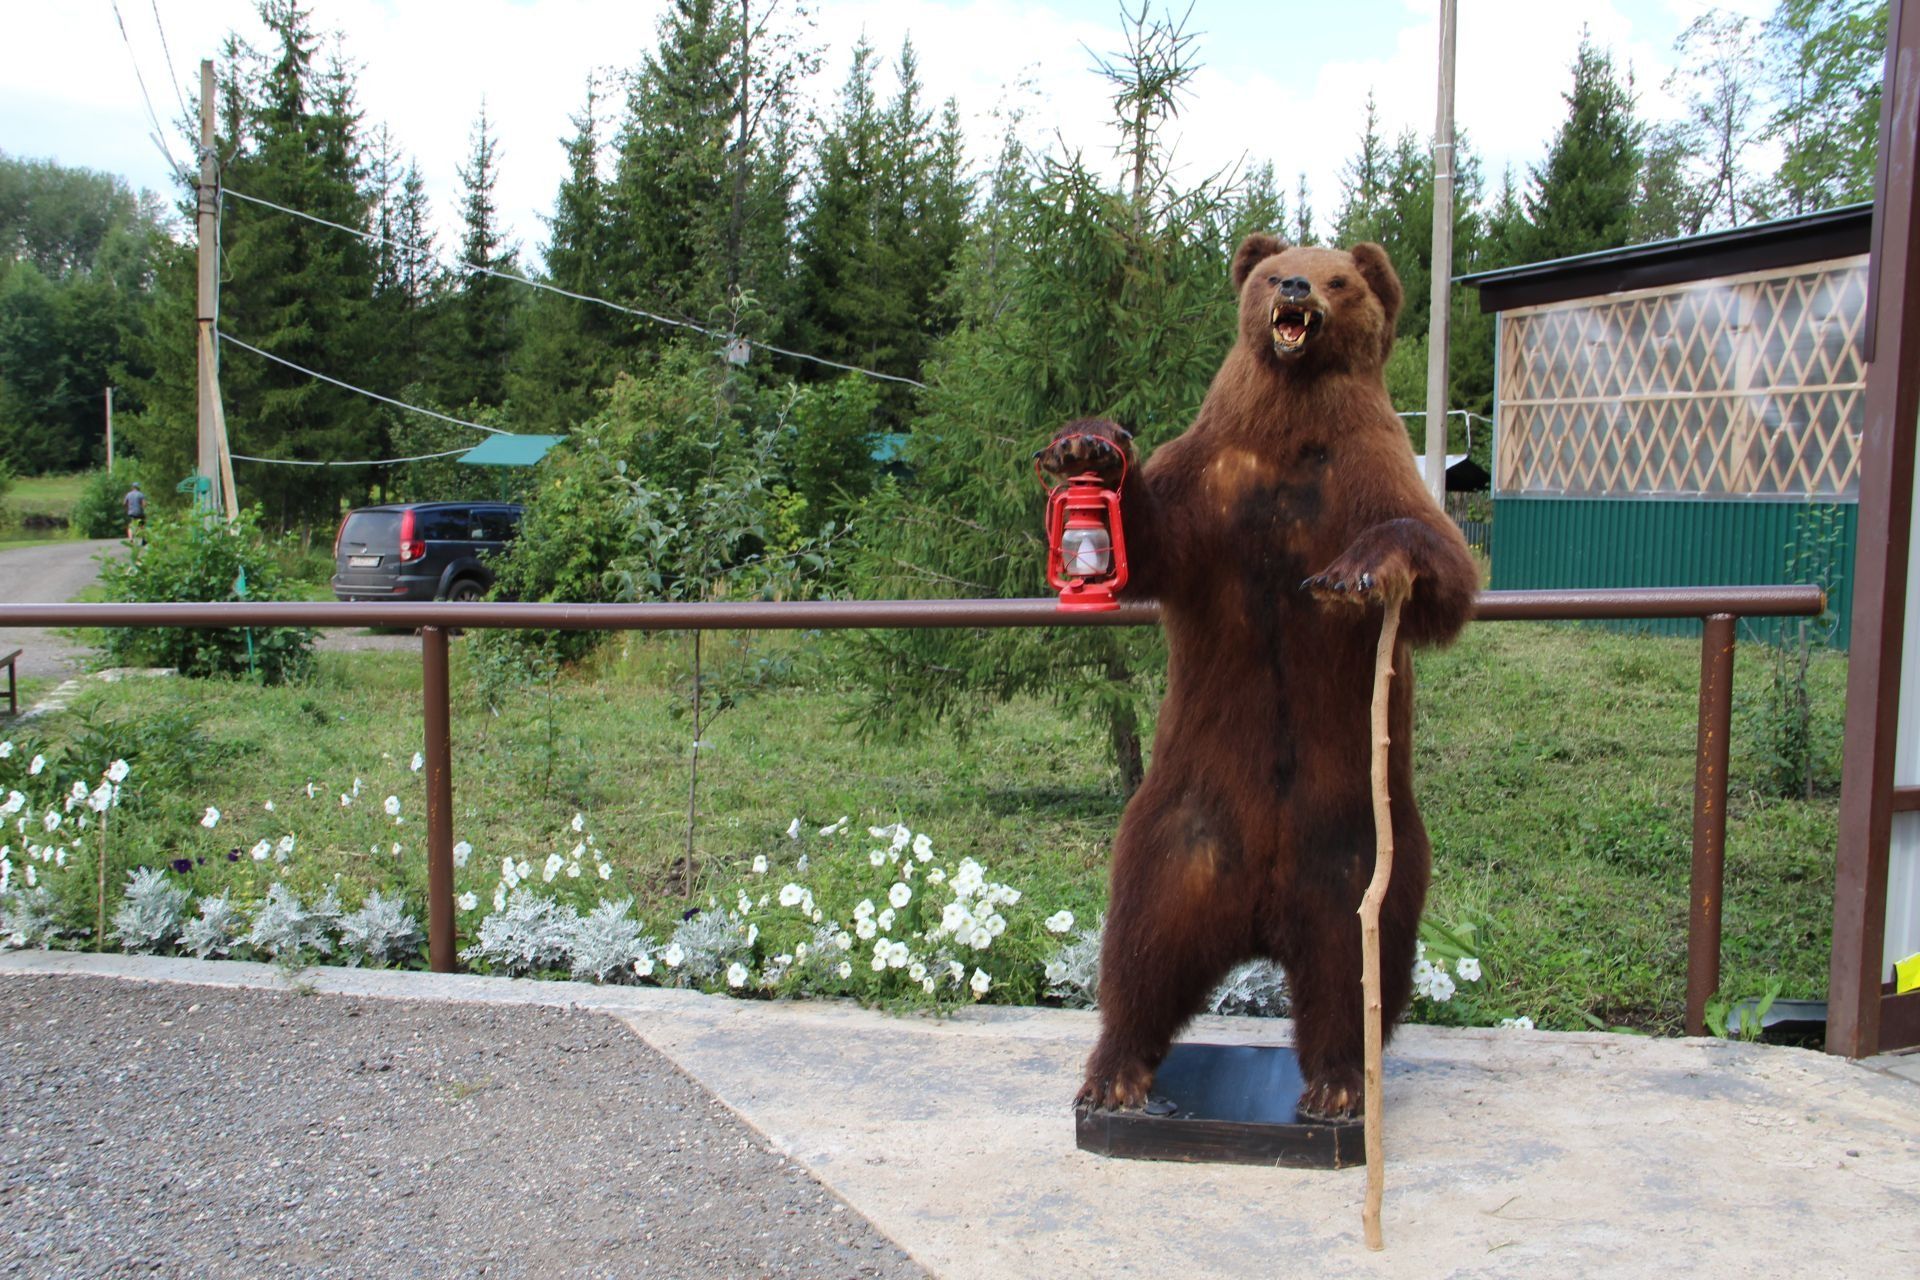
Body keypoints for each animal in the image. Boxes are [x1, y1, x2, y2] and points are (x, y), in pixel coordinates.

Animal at [1044, 235, 1474, 1113]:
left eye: (1341, 277)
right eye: (1277, 272)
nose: (1300, 286)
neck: (1290, 432)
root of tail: (1260, 917)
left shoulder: (1369, 471)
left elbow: (1441, 567)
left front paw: (1361, 572)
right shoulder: (1215, 484)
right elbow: (1156, 536)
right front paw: (1087, 447)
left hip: (1358, 851)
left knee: (1354, 970)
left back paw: (1337, 1085)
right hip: (1179, 835)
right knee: (1142, 947)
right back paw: (1115, 1074)